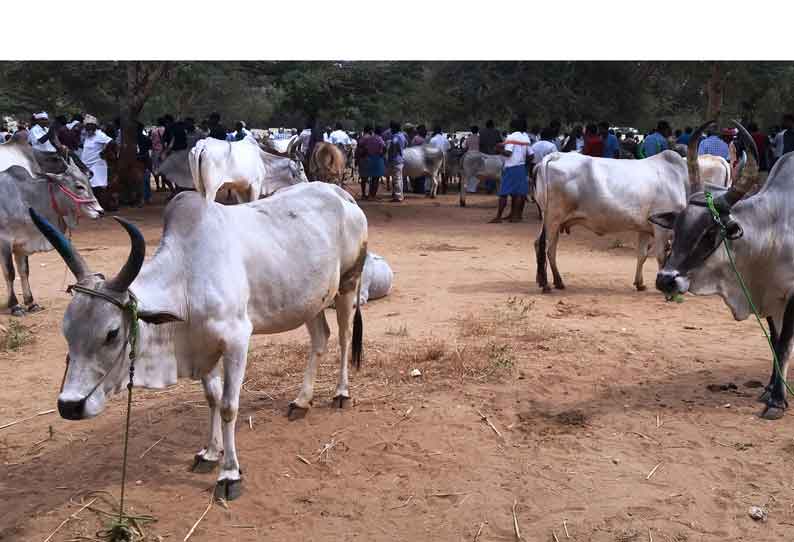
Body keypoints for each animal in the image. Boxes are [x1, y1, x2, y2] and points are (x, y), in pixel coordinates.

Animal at [0, 167, 102, 318]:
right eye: (79, 186)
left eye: (89, 183)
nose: (100, 211)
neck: (25, 197)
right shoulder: (5, 242)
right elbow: (10, 273)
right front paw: (15, 305)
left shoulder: (21, 245)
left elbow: (24, 272)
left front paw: (31, 303)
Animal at [29, 183, 366, 502]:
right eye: (66, 331)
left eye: (112, 333)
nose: (69, 406)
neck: (187, 278)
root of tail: (341, 194)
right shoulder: (204, 346)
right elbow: (212, 398)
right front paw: (210, 453)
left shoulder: (236, 340)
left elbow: (229, 406)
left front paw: (229, 473)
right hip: (312, 300)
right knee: (320, 339)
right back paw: (301, 401)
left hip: (348, 284)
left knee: (344, 337)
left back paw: (341, 393)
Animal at [648, 121, 792, 422]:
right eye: (677, 225)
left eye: (711, 232)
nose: (666, 280)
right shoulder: (770, 299)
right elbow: (775, 343)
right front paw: (769, 390)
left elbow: (784, 345)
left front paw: (777, 401)